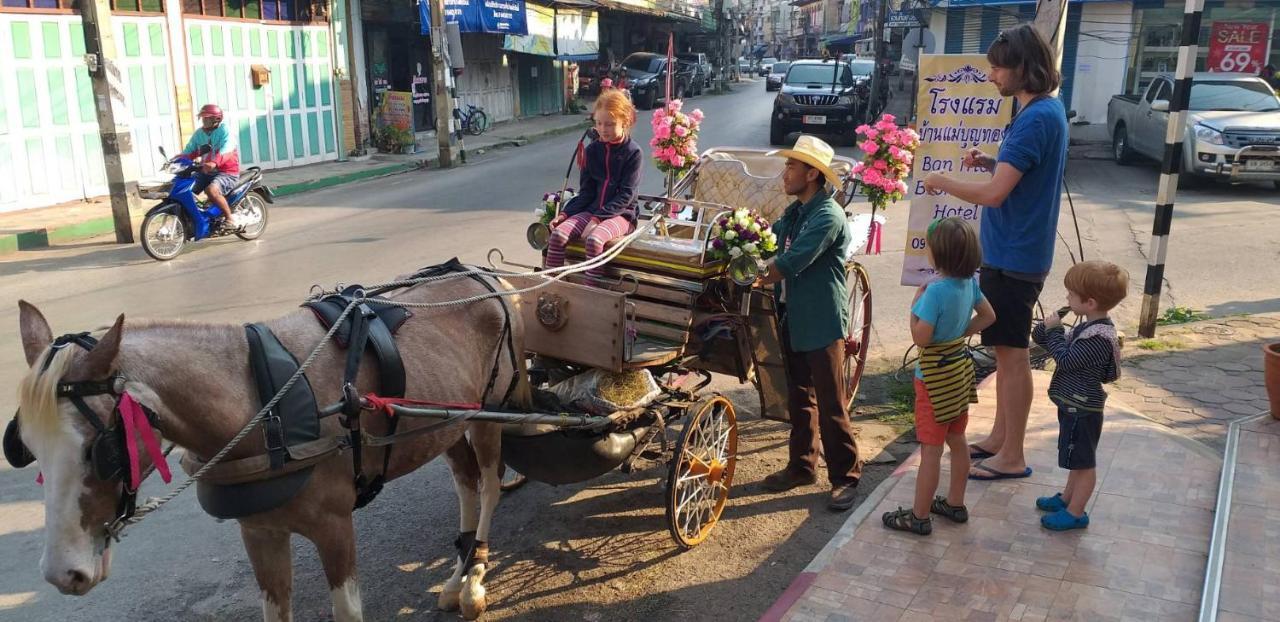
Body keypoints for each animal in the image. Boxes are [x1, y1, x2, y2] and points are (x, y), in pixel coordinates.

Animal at [11, 268, 529, 622]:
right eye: (26, 448)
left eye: (99, 450)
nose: (61, 574)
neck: (265, 407)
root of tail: (488, 277)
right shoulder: (260, 532)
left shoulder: (335, 528)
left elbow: (347, 611)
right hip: (445, 424)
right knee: (466, 484)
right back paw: (457, 575)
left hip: (488, 416)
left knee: (488, 486)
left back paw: (475, 579)